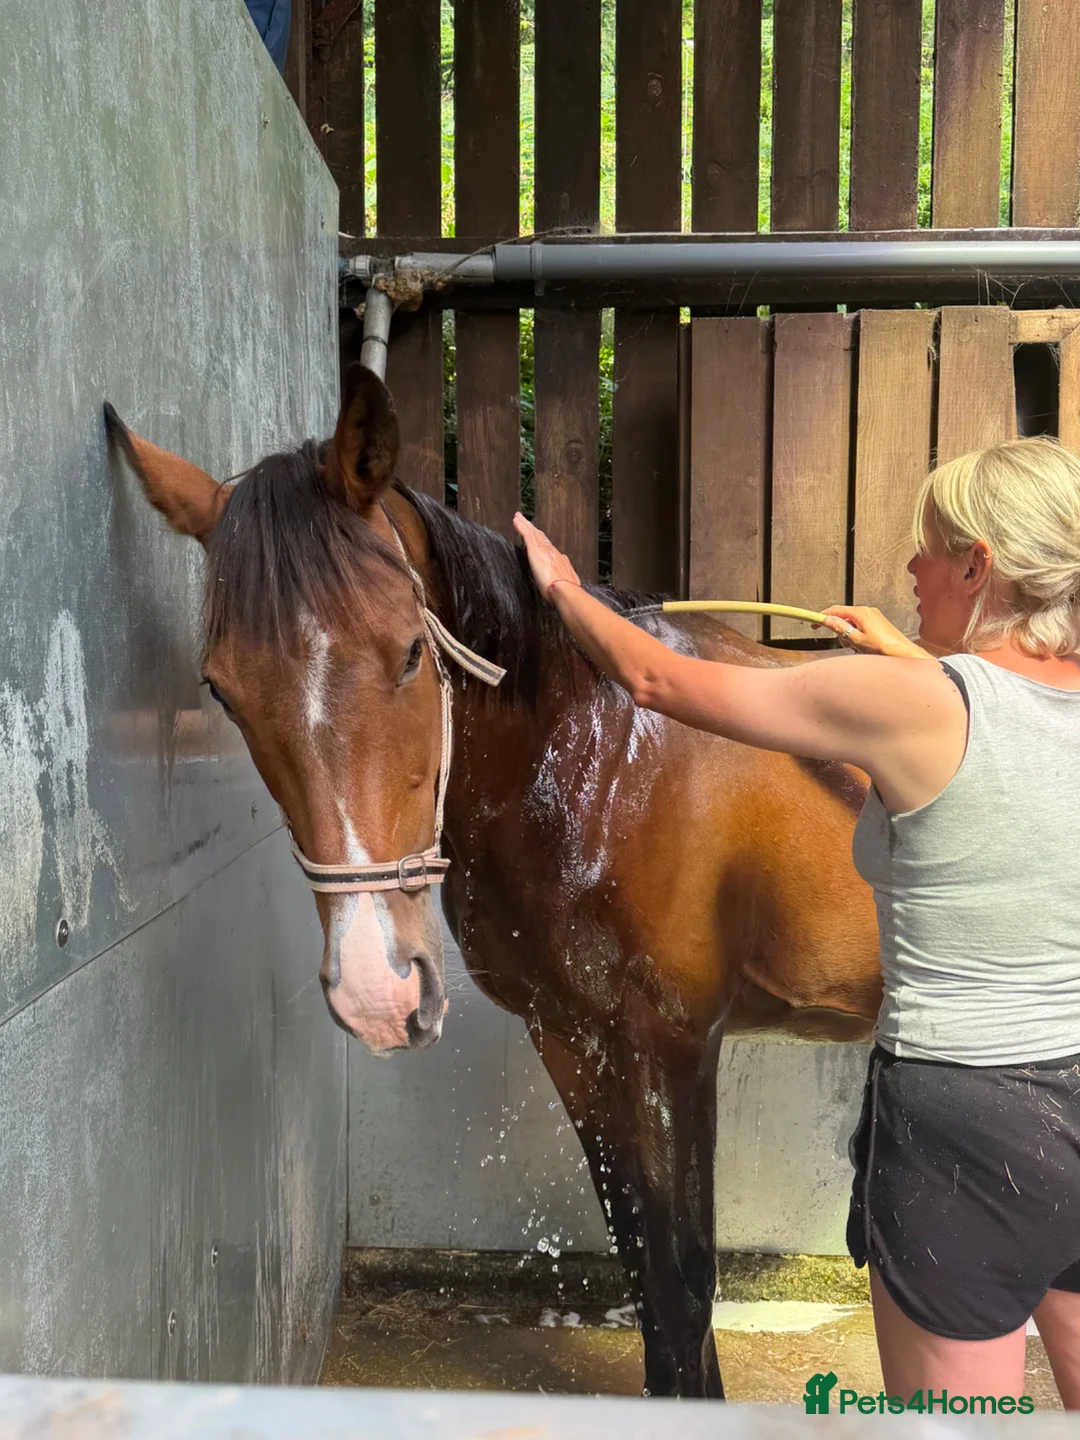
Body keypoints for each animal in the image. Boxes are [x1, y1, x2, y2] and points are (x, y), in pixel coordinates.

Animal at [104, 364, 882, 1399]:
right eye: (223, 690)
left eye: (408, 651)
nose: (377, 989)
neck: (601, 757)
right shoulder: (573, 1038)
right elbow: (643, 1268)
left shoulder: (671, 1045)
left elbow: (682, 1289)